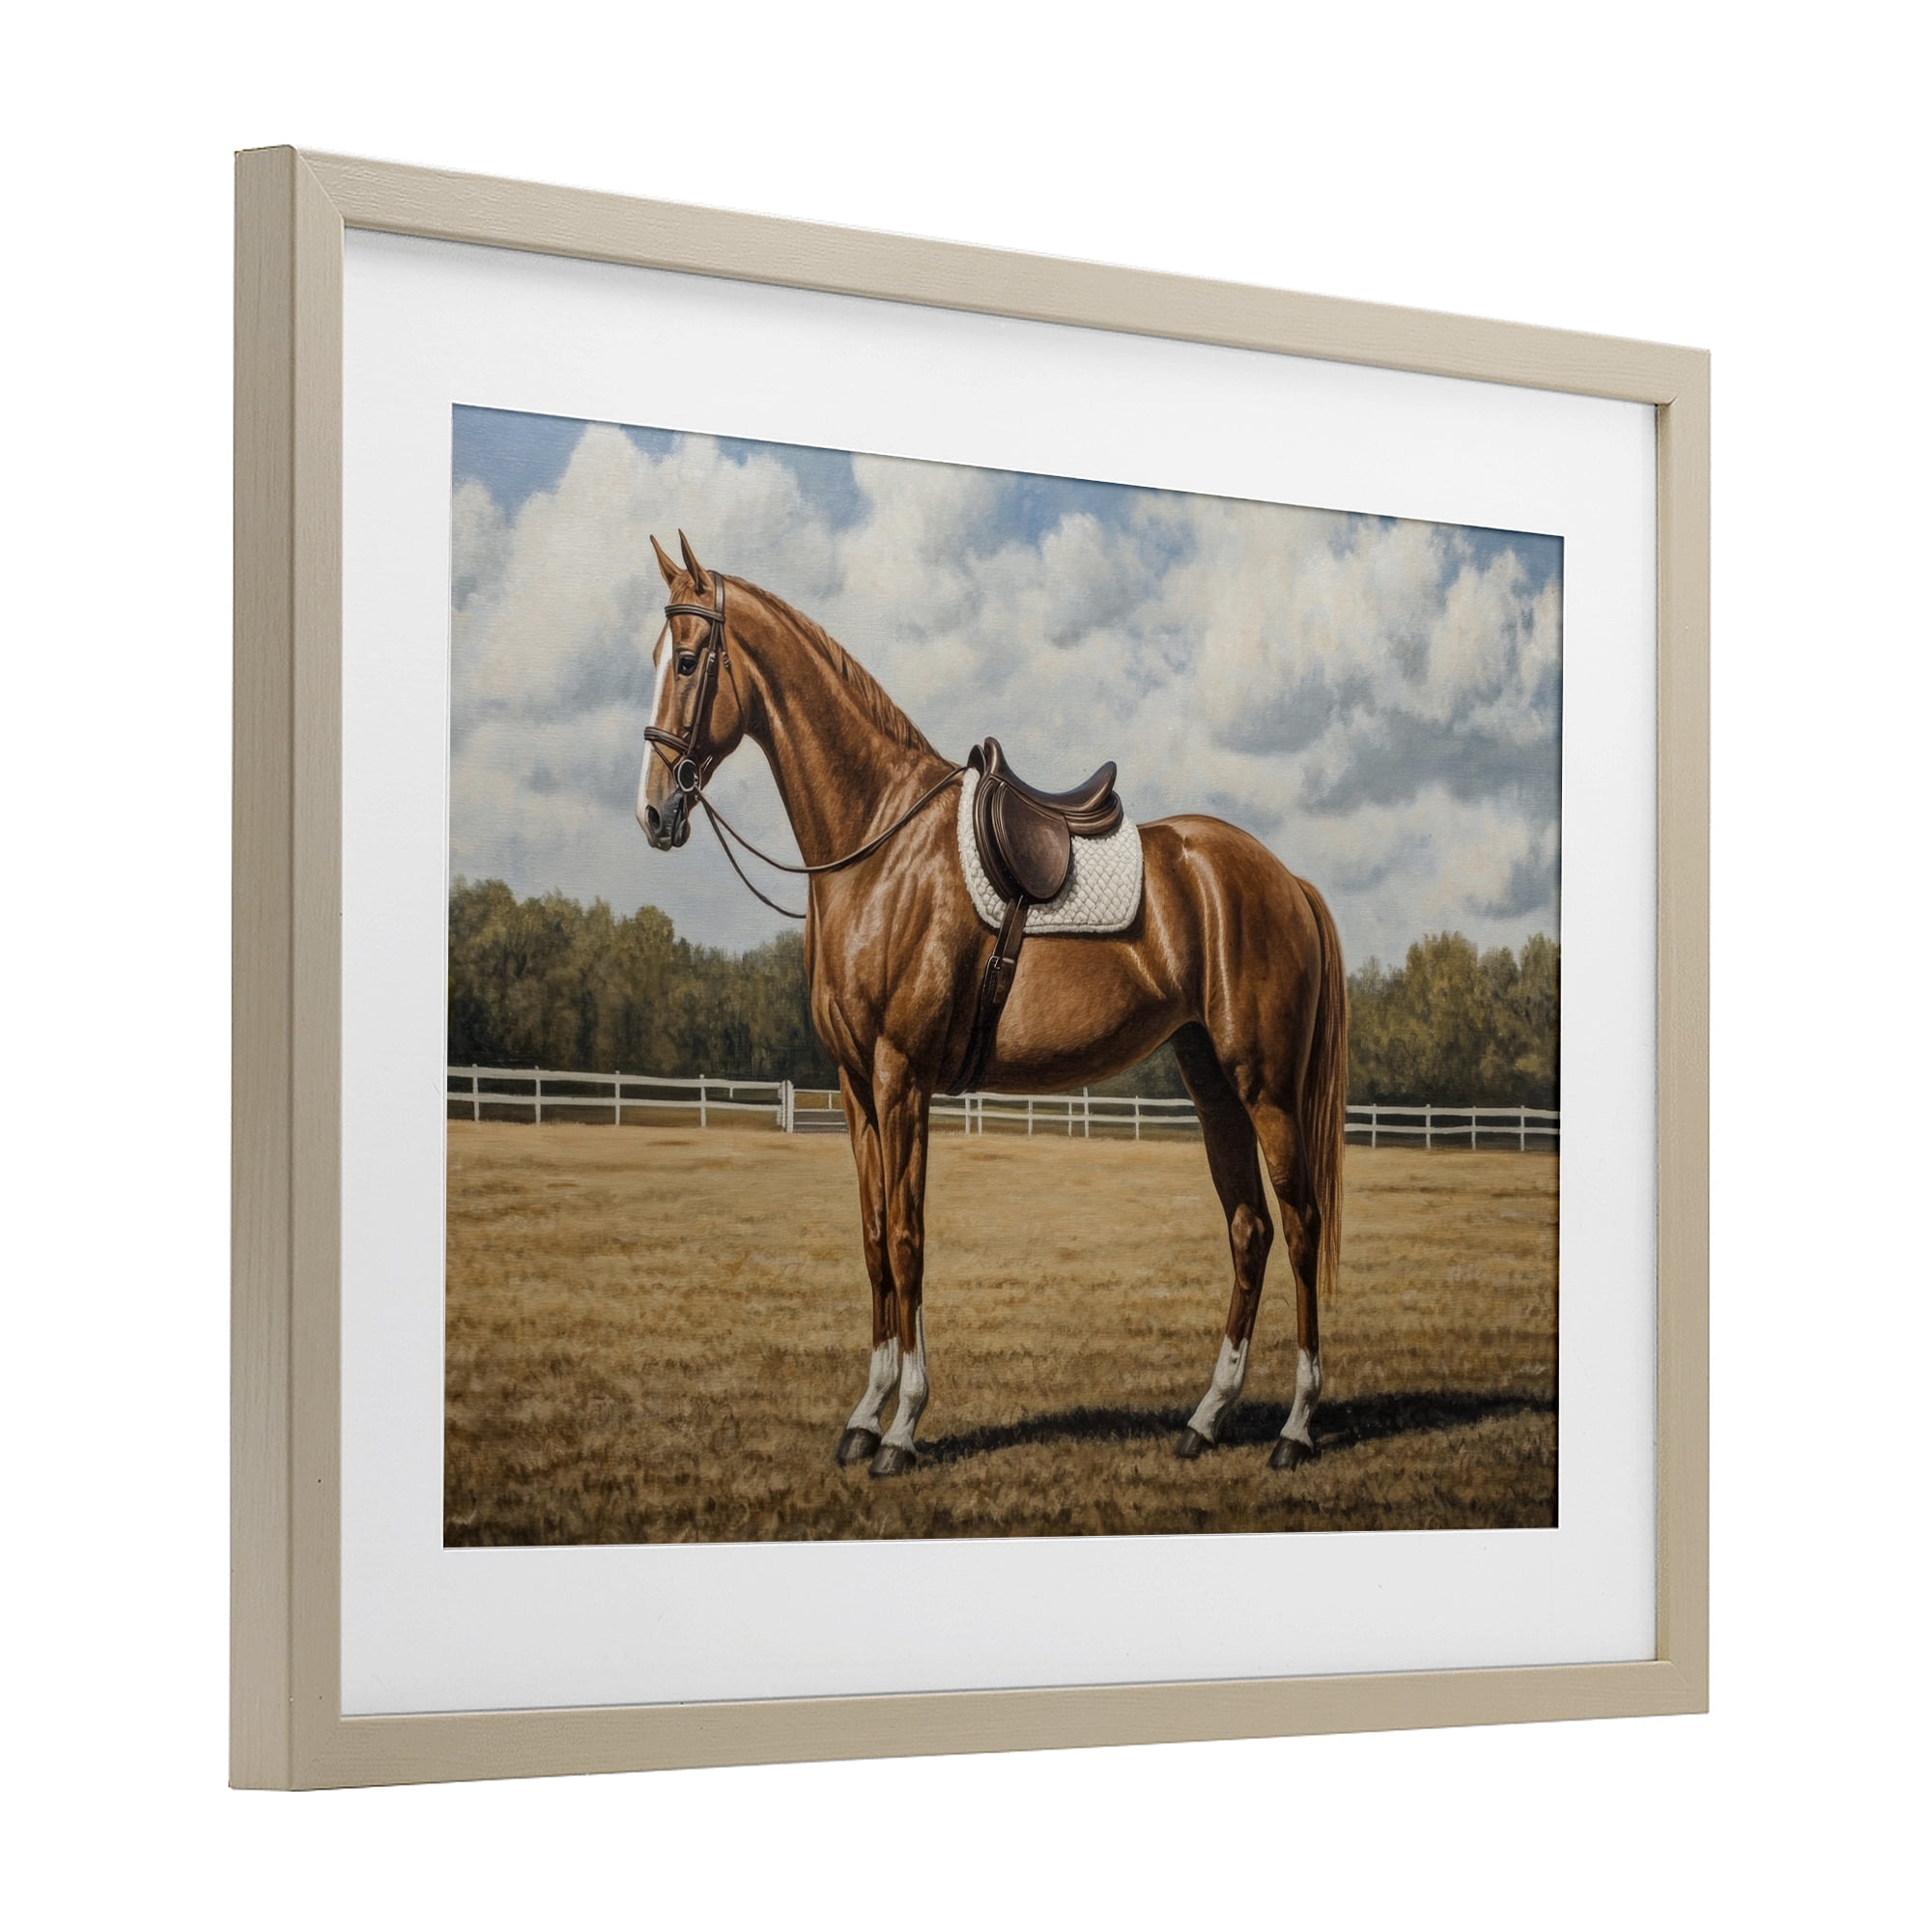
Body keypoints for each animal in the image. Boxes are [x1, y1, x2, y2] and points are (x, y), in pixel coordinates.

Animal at [635, 532, 1346, 1479]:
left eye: (685, 659)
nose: (653, 812)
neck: (879, 847)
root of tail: (1284, 878)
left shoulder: (902, 1077)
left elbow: (908, 1239)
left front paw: (903, 1427)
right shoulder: (856, 1086)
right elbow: (874, 1240)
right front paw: (863, 1415)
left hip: (1265, 1087)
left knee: (1299, 1226)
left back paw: (1296, 1429)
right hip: (1211, 1083)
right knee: (1250, 1229)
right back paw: (1206, 1418)